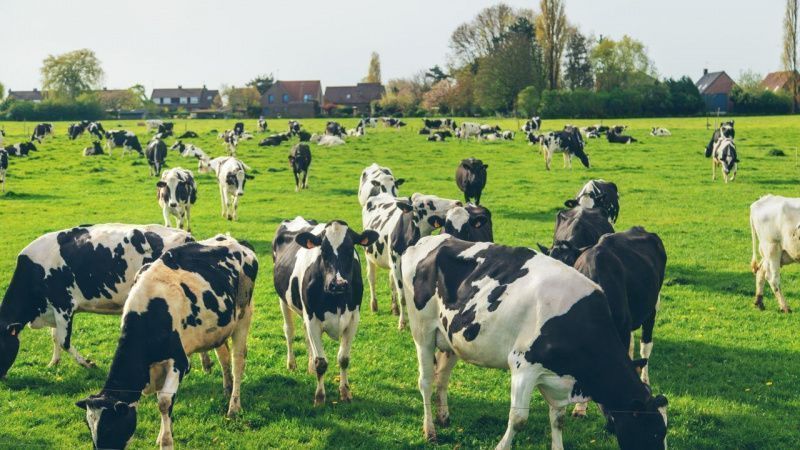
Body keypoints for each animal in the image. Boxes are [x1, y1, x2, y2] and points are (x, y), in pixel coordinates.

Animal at [0, 224, 193, 378]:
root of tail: (187, 236)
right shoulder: (53, 309)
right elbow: (55, 337)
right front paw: (53, 362)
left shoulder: (64, 304)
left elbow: (64, 341)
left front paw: (88, 363)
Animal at [76, 235, 258, 450]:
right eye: (90, 428)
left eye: (110, 428)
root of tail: (234, 240)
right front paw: (162, 433)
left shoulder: (179, 362)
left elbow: (163, 402)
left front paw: (166, 441)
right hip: (219, 328)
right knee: (224, 358)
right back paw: (227, 389)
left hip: (243, 316)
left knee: (238, 362)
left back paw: (234, 407)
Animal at [272, 217, 378, 406]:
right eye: (323, 250)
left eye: (350, 249)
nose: (338, 284)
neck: (336, 301)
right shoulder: (313, 319)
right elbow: (321, 362)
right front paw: (320, 397)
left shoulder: (353, 319)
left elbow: (344, 359)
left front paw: (345, 392)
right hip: (283, 300)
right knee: (289, 332)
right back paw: (291, 364)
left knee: (305, 336)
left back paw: (309, 367)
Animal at [362, 188, 461, 328]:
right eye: (428, 203)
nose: (458, 203)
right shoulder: (397, 265)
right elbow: (403, 297)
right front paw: (402, 323)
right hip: (370, 257)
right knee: (371, 278)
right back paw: (374, 305)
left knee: (391, 280)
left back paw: (395, 309)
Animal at [399, 234, 669, 450]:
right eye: (653, 431)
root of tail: (430, 239)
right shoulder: (523, 367)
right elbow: (518, 419)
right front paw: (502, 446)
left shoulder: (558, 378)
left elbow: (558, 419)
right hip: (422, 332)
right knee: (425, 382)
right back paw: (430, 430)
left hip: (450, 340)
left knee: (442, 377)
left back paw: (444, 417)